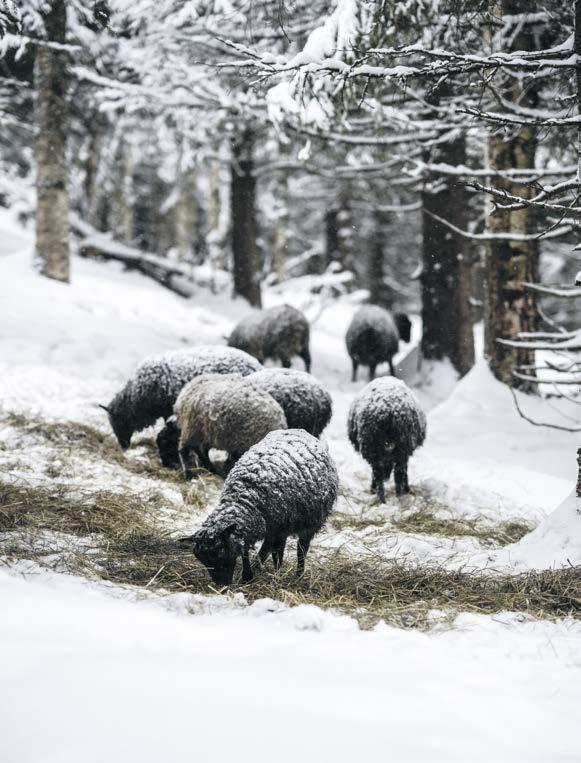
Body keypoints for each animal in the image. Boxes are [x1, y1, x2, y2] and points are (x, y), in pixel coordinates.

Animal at [188, 430, 338, 584]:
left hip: (310, 523)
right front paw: (248, 575)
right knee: (268, 546)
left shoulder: (280, 528)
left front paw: (276, 576)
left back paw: (298, 574)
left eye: (221, 553)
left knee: (301, 549)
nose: (222, 585)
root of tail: (300, 431)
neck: (246, 495)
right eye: (203, 561)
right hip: (274, 526)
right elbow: (245, 550)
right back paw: (258, 564)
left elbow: (277, 554)